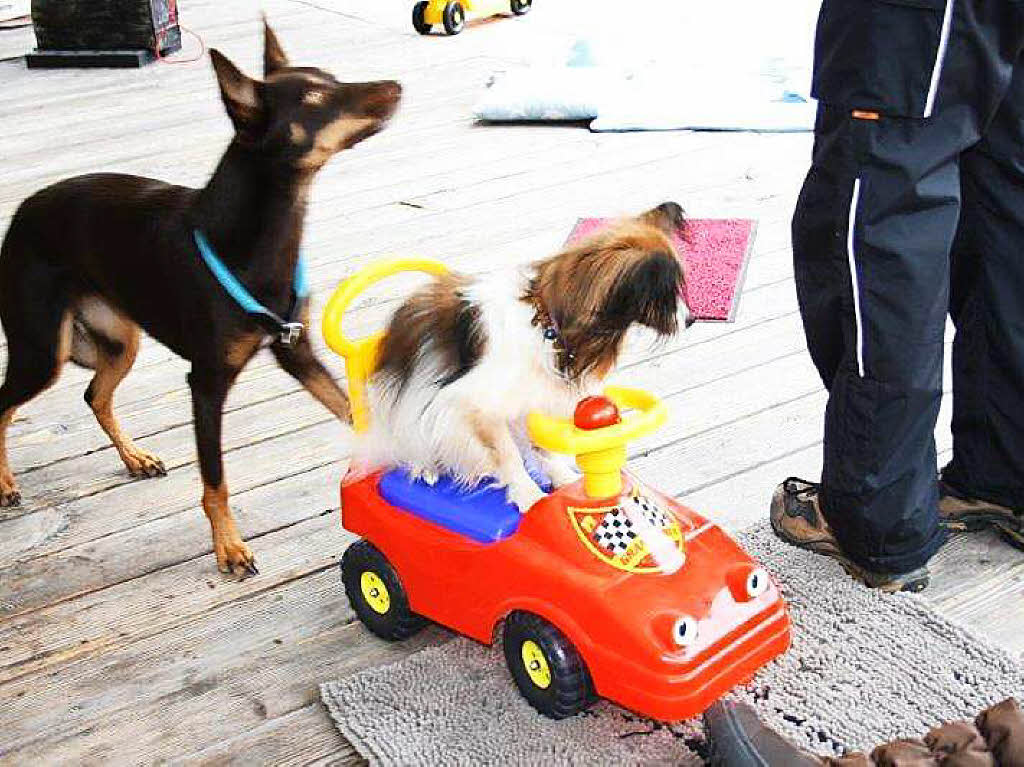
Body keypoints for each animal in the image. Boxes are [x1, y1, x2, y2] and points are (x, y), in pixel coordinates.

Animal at [0, 22, 391, 573]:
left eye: (332, 79)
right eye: (315, 97)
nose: (395, 88)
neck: (256, 236)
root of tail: (19, 217)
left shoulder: (295, 350)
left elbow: (349, 409)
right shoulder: (205, 383)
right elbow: (215, 480)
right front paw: (229, 546)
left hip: (119, 342)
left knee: (95, 394)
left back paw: (135, 457)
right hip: (42, 351)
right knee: (5, 405)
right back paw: (6, 482)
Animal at [356, 203, 692, 512]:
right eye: (665, 296)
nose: (690, 320)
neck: (546, 324)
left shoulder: (535, 397)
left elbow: (543, 447)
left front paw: (564, 482)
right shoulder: (480, 405)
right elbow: (509, 455)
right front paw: (528, 495)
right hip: (413, 411)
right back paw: (423, 466)